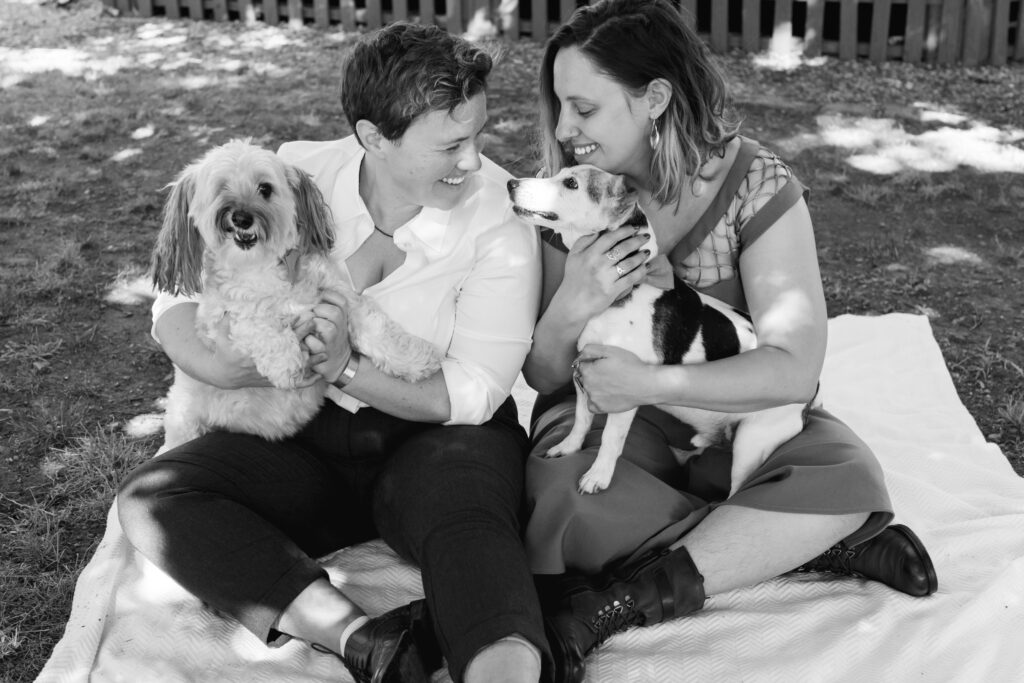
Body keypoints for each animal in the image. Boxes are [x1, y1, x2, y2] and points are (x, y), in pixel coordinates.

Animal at [509, 165, 815, 497]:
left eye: (570, 183)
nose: (511, 183)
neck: (628, 289)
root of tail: (813, 393)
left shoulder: (621, 393)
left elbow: (610, 439)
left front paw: (598, 475)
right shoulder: (583, 374)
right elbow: (581, 419)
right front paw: (569, 447)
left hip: (752, 443)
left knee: (736, 489)